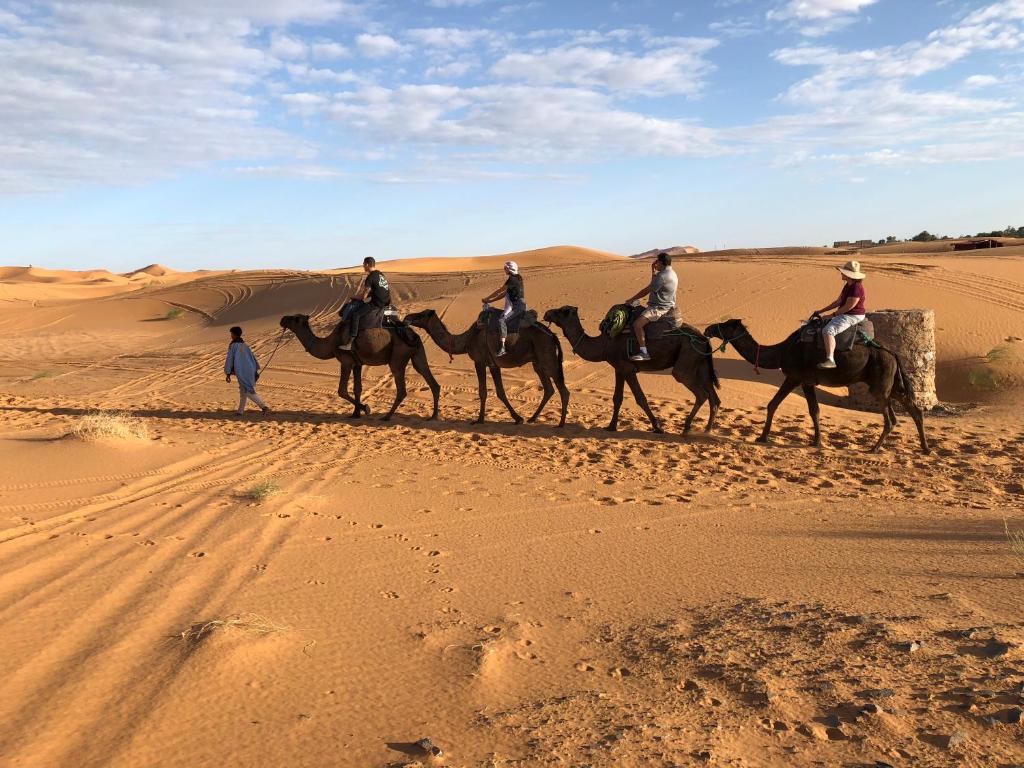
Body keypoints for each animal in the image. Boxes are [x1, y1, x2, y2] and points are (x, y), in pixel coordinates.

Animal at [280, 313, 440, 421]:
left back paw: (387, 417)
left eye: (295, 318)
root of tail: (411, 334)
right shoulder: (357, 363)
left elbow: (342, 390)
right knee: (431, 381)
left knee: (401, 389)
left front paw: (365, 408)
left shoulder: (346, 361)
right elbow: (357, 389)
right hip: (418, 354)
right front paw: (356, 413)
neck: (331, 343)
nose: (282, 319)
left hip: (398, 357)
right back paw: (433, 416)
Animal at [403, 307, 573, 428]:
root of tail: (553, 335)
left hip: (547, 357)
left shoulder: (480, 361)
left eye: (421, 315)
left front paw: (479, 420)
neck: (466, 340)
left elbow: (485, 391)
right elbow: (499, 392)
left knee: (563, 390)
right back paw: (532, 418)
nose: (407, 318)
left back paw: (561, 424)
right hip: (537, 362)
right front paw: (518, 418)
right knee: (549, 389)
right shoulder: (493, 364)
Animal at [544, 309, 720, 438]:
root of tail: (703, 338)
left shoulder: (628, 369)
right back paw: (707, 430)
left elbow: (640, 398)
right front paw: (611, 426)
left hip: (685, 361)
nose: (547, 313)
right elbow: (617, 398)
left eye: (562, 311)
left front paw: (658, 427)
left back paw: (687, 428)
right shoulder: (619, 368)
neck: (604, 344)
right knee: (713, 396)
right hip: (701, 362)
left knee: (700, 392)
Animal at [704, 315, 929, 454]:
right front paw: (815, 441)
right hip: (893, 385)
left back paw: (874, 448)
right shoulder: (805, 381)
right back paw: (925, 449)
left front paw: (764, 437)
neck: (780, 351)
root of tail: (893, 353)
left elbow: (789, 406)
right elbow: (805, 409)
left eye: (725, 325)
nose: (708, 328)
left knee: (891, 418)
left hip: (880, 385)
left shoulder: (797, 377)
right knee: (914, 410)